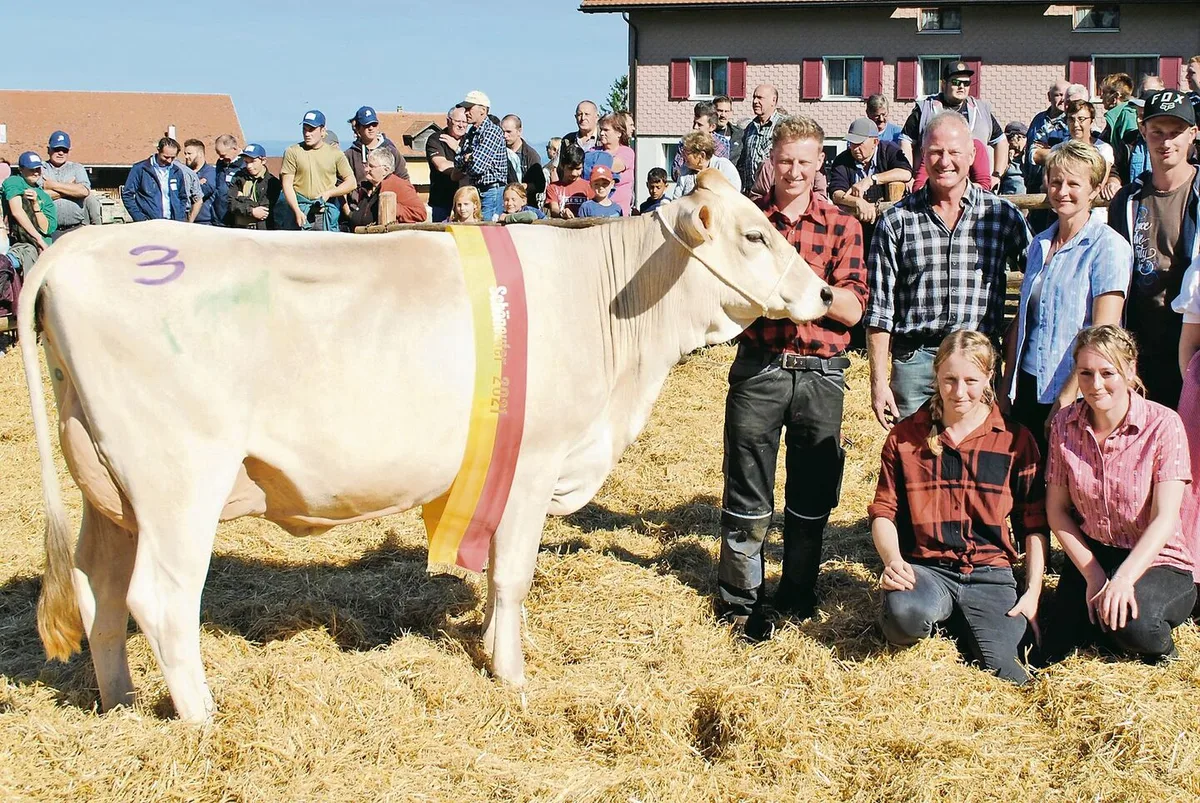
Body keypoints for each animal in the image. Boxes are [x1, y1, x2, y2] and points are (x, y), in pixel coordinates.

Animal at [19, 169, 831, 723]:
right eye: (755, 235)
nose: (826, 294)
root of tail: (83, 244)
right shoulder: (534, 460)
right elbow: (514, 574)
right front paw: (512, 675)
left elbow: (495, 575)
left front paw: (491, 646)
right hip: (179, 480)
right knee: (160, 599)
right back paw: (205, 719)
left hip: (109, 485)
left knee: (97, 588)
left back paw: (121, 702)